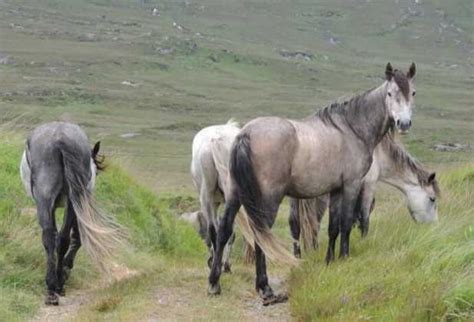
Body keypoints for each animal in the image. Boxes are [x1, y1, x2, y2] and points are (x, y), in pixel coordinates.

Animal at [20, 122, 124, 306]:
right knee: (57, 238)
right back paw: (54, 287)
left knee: (54, 237)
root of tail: (60, 138)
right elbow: (75, 237)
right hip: (66, 198)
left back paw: (55, 286)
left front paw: (65, 270)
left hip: (53, 198)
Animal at [208, 63, 418, 304]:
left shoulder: (336, 190)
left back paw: (214, 283)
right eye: (390, 93)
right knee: (261, 234)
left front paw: (329, 261)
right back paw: (265, 287)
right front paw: (344, 258)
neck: (352, 129)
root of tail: (245, 134)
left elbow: (333, 227)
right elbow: (346, 224)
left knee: (224, 230)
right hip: (268, 199)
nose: (404, 124)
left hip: (234, 193)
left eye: (412, 92)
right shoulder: (352, 185)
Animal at [288, 132, 440, 258]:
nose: (433, 226)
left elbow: (355, 217)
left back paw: (298, 257)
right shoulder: (369, 184)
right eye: (432, 199)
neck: (380, 153)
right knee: (314, 222)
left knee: (296, 224)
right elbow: (365, 217)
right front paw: (363, 242)